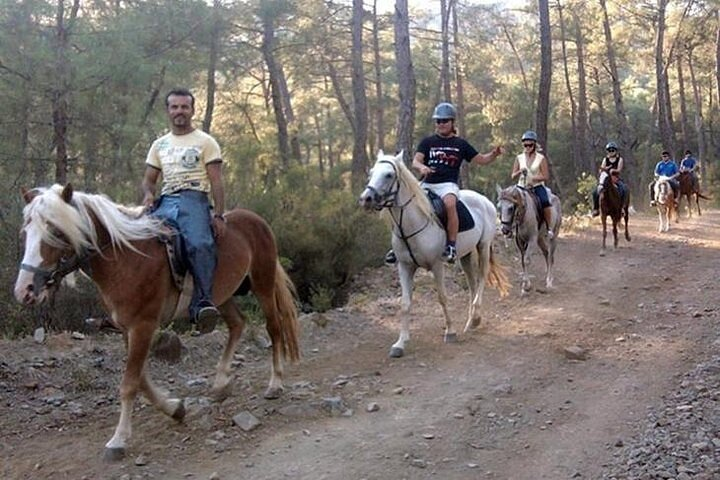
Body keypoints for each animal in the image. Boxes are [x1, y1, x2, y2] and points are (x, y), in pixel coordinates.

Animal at [14, 183, 300, 458]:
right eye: (26, 233)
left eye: (56, 231)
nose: (24, 290)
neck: (126, 258)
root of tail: (255, 218)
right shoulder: (127, 328)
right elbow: (140, 378)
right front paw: (174, 408)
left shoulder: (144, 325)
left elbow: (130, 383)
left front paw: (118, 440)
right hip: (221, 295)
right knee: (237, 324)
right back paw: (220, 383)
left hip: (263, 283)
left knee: (273, 327)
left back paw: (275, 384)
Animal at [358, 152, 510, 358]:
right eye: (372, 172)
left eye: (389, 175)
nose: (366, 199)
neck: (411, 224)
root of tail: (483, 199)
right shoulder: (404, 266)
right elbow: (405, 304)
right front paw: (400, 343)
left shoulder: (437, 266)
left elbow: (442, 298)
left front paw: (450, 332)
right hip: (465, 255)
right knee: (471, 282)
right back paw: (471, 321)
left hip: (483, 246)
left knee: (481, 278)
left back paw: (476, 318)